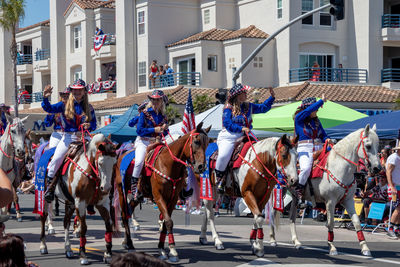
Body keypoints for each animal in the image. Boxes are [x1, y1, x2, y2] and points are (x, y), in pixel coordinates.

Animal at [38, 134, 118, 266]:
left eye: (114, 163)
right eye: (100, 163)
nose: (106, 188)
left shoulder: (103, 203)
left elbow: (108, 225)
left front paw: (108, 254)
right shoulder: (80, 202)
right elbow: (84, 228)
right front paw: (83, 255)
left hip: (70, 202)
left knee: (66, 221)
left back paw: (68, 249)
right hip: (45, 197)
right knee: (43, 217)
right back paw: (43, 246)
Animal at [113, 123, 209, 264]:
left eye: (207, 143)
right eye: (196, 142)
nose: (201, 167)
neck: (168, 164)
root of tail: (121, 155)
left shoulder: (173, 199)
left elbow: (165, 223)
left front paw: (162, 249)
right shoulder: (159, 197)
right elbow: (168, 221)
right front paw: (173, 252)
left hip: (136, 198)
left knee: (129, 211)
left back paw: (126, 241)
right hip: (121, 192)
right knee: (125, 215)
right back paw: (130, 243)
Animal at [270, 125, 380, 258]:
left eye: (378, 144)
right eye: (368, 145)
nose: (377, 168)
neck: (339, 166)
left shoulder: (348, 201)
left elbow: (356, 222)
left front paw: (365, 248)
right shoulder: (330, 201)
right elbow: (331, 223)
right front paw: (332, 247)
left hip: (295, 198)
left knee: (292, 218)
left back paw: (296, 242)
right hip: (278, 192)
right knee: (272, 213)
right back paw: (273, 240)